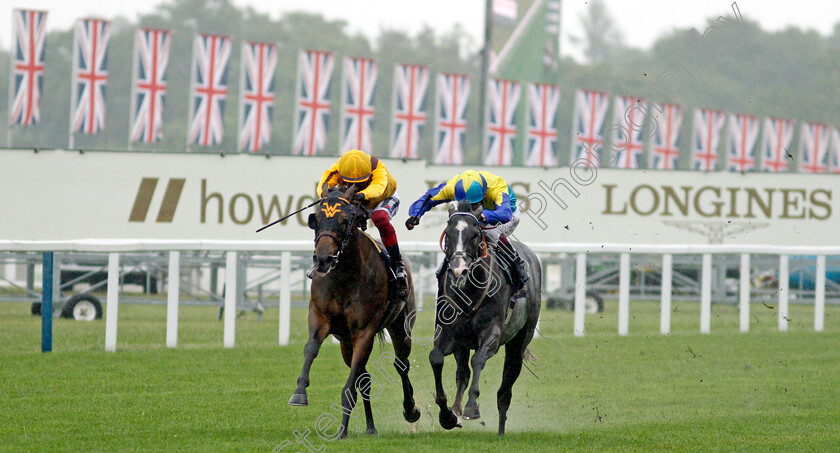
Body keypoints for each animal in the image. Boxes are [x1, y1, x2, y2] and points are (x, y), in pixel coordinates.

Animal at [288, 185, 420, 438]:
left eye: (344, 219)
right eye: (316, 219)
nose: (323, 259)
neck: (344, 278)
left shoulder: (364, 331)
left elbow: (350, 388)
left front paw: (341, 431)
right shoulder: (321, 317)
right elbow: (311, 347)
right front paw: (299, 392)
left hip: (401, 326)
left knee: (401, 364)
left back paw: (410, 410)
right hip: (345, 344)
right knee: (365, 378)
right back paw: (370, 427)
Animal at [430, 201, 540, 434]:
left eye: (474, 235)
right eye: (449, 234)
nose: (459, 270)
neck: (469, 291)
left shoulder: (493, 334)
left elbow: (478, 359)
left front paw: (472, 407)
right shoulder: (449, 333)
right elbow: (436, 357)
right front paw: (447, 415)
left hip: (519, 341)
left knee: (505, 388)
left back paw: (500, 430)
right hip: (462, 344)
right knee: (462, 374)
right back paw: (456, 411)